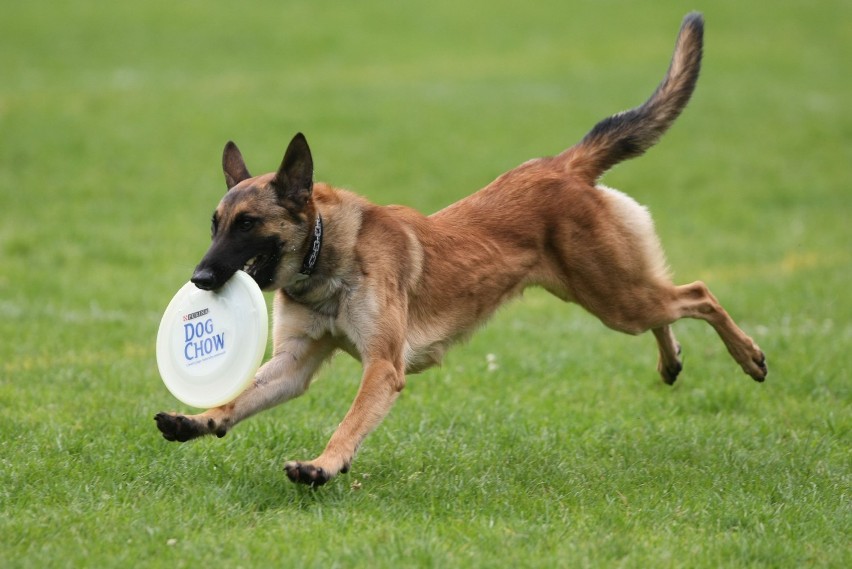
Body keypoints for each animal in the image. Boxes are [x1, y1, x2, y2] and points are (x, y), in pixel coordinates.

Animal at [153, 13, 764, 484]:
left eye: (248, 224)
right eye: (215, 225)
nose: (200, 280)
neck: (325, 256)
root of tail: (563, 165)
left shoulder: (382, 367)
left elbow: (348, 422)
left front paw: (323, 465)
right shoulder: (294, 364)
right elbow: (239, 398)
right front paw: (198, 420)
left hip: (613, 297)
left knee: (697, 293)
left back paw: (748, 356)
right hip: (613, 294)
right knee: (669, 301)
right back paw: (671, 360)